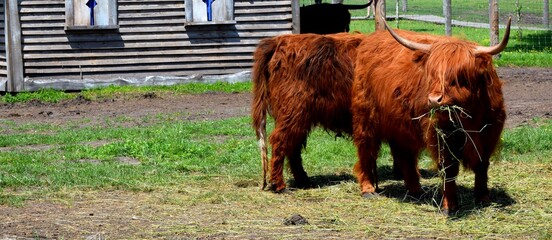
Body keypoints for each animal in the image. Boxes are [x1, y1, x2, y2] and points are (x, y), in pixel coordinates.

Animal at [251, 32, 366, 191]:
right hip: (294, 110)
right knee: (280, 141)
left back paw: (303, 181)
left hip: (299, 116)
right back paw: (279, 184)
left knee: (293, 146)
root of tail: (281, 40)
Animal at [352, 18, 512, 214]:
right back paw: (368, 189)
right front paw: (449, 206)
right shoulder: (440, 135)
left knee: (405, 155)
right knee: (366, 148)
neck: (470, 118)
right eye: (432, 74)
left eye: (460, 77)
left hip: (401, 125)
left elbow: (482, 165)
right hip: (365, 115)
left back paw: (415, 190)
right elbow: (448, 169)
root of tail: (370, 39)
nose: (434, 100)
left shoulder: (490, 133)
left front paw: (483, 198)